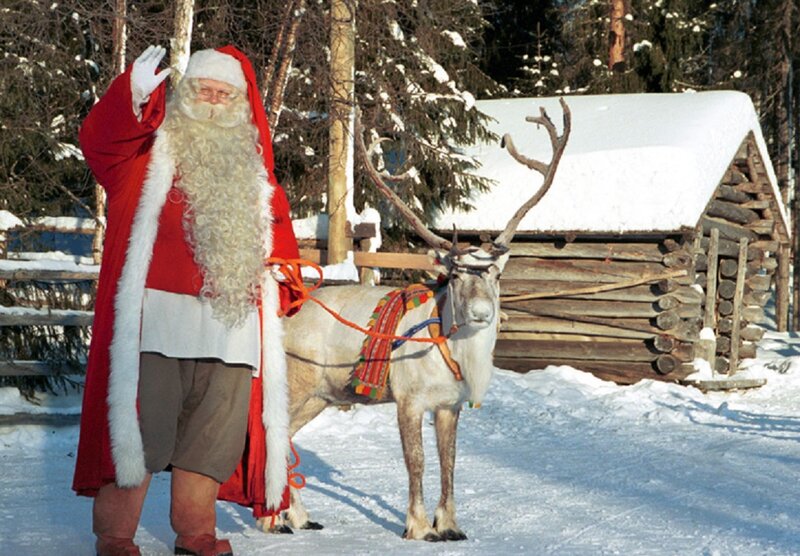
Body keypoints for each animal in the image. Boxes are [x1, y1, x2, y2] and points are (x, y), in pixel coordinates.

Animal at [270, 99, 571, 541]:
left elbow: (450, 463)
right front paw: (418, 525)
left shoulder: (449, 405)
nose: (483, 314)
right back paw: (274, 519)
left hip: (321, 396)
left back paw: (296, 516)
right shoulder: (408, 400)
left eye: (496, 275)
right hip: (296, 385)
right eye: (456, 275)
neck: (454, 356)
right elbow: (417, 462)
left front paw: (450, 524)